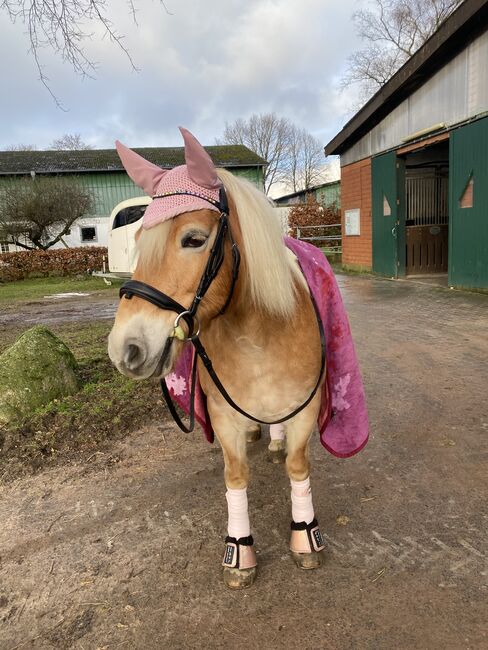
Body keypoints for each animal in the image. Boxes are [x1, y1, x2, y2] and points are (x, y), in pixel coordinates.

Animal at [107, 126, 366, 588]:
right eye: (139, 242)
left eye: (193, 239)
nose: (126, 349)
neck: (258, 338)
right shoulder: (223, 416)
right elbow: (235, 477)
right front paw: (240, 551)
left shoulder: (306, 409)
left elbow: (298, 467)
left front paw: (306, 537)